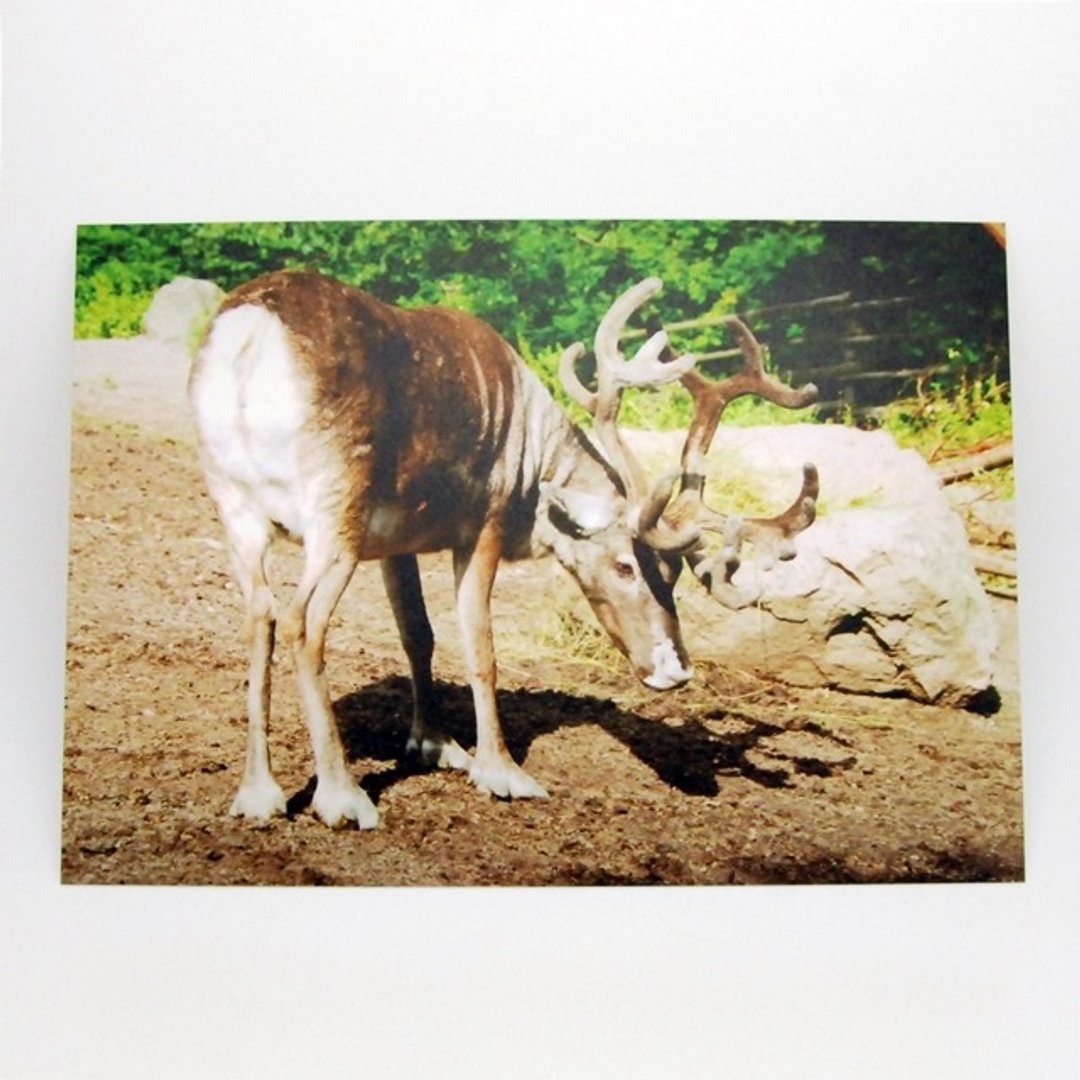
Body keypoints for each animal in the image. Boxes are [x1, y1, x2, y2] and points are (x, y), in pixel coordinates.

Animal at [188, 269, 819, 828]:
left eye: (675, 573)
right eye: (624, 566)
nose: (676, 669)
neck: (531, 471)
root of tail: (249, 334)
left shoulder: (397, 540)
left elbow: (418, 634)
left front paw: (434, 743)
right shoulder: (482, 523)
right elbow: (481, 647)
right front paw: (501, 770)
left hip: (235, 505)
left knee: (260, 615)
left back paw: (258, 792)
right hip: (335, 503)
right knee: (302, 620)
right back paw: (342, 797)